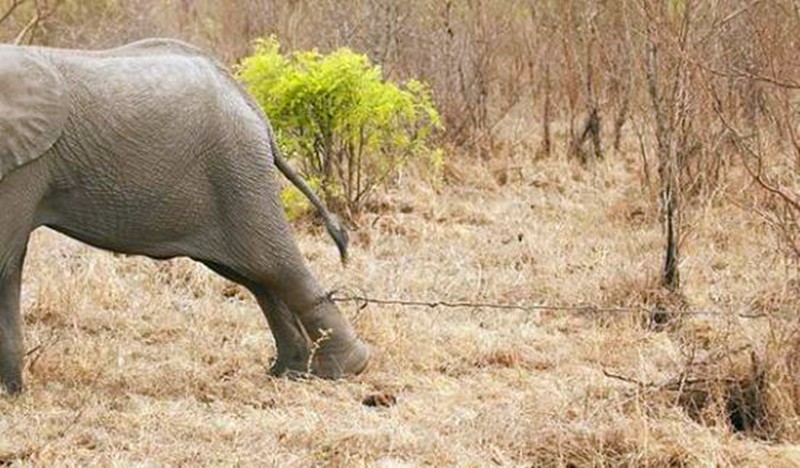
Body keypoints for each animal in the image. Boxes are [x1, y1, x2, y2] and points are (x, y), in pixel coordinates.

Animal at [0, 38, 370, 394]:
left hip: (237, 171)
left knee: (274, 266)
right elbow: (9, 263)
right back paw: (289, 371)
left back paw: (343, 369)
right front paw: (11, 390)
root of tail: (252, 105)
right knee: (257, 277)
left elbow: (3, 260)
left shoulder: (25, 164)